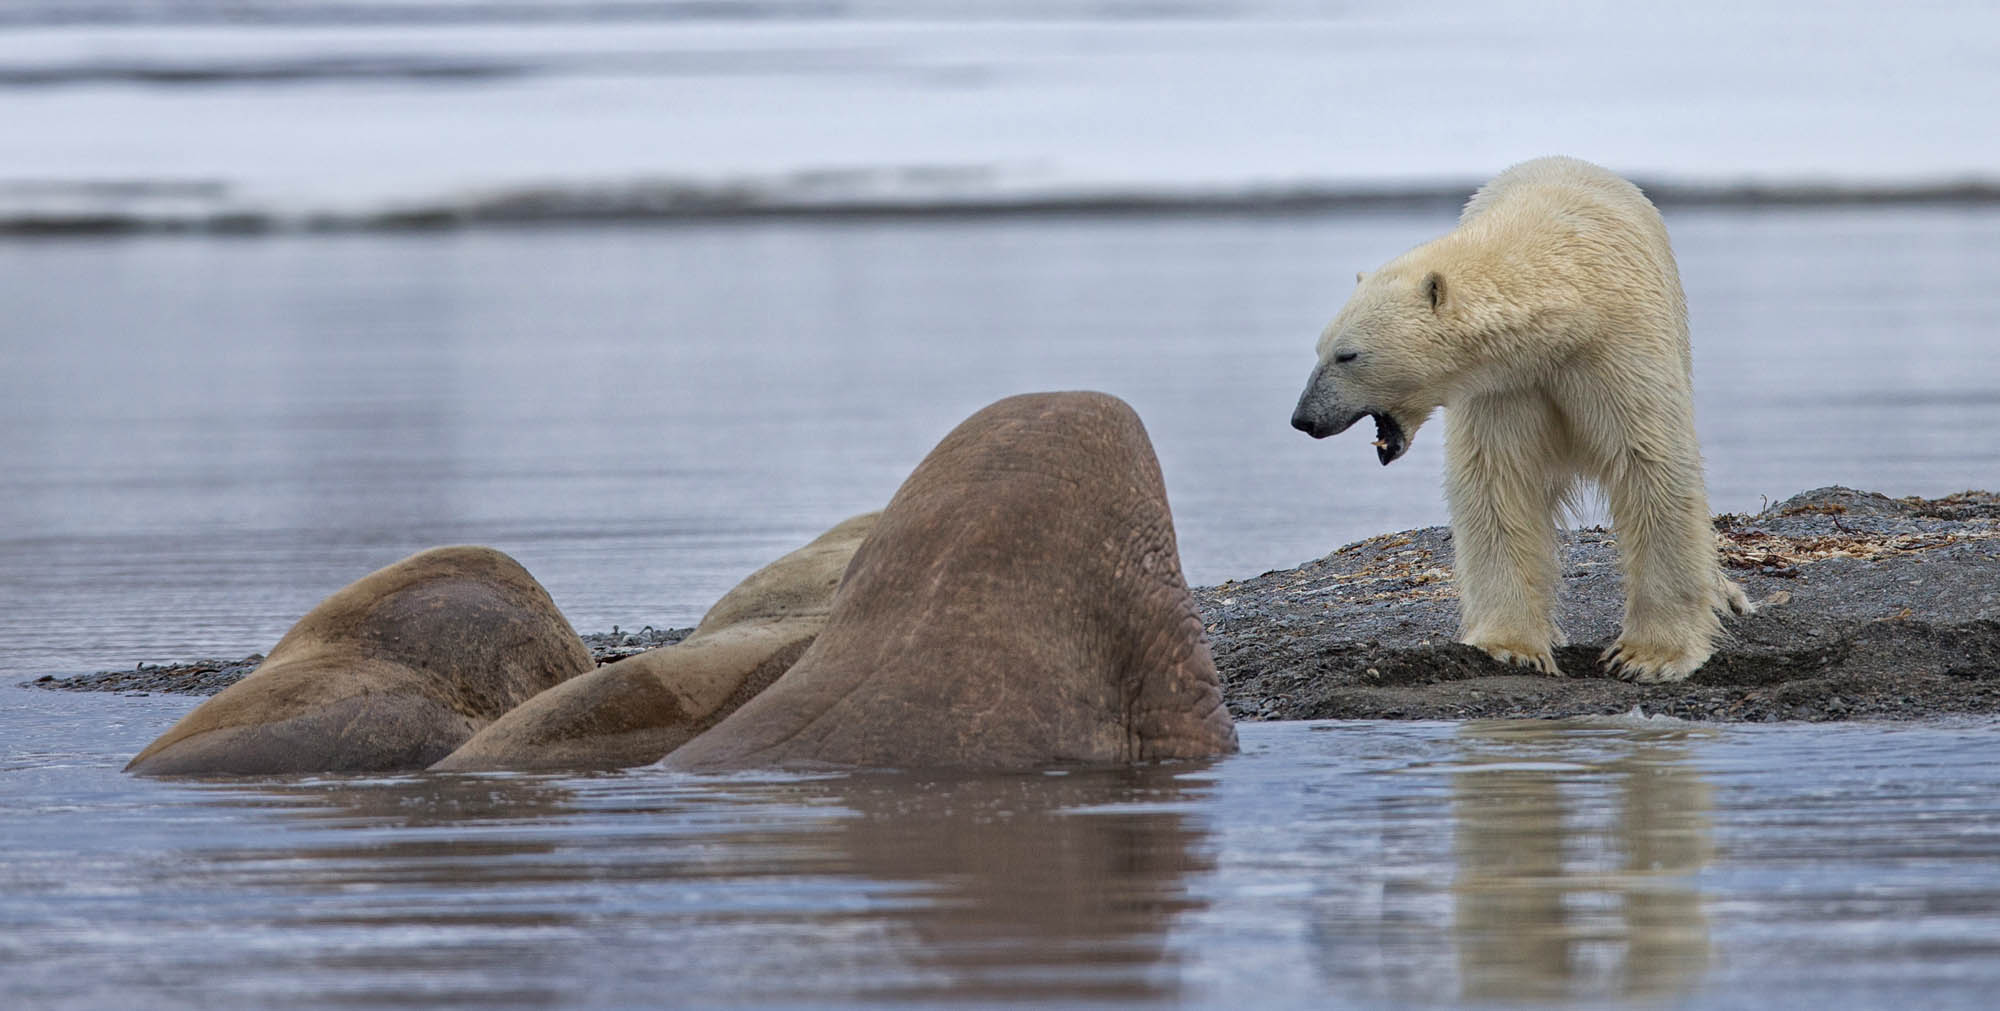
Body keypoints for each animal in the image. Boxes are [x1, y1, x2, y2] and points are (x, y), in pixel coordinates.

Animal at [1288, 155, 1744, 679]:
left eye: (1347, 355)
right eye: (1319, 349)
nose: (1303, 419)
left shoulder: (1617, 351)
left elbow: (1650, 464)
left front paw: (1648, 657)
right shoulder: (1504, 387)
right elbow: (1496, 482)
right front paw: (1512, 646)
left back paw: (1727, 595)